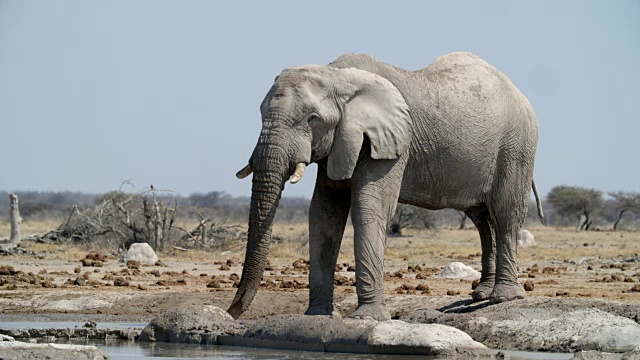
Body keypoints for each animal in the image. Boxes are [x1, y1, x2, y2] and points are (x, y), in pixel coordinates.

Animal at [228, 52, 544, 320]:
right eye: (260, 113)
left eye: (312, 119)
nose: (232, 313)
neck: (338, 77)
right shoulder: (339, 144)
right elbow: (323, 213)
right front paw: (317, 316)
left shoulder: (390, 142)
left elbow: (369, 208)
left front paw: (368, 317)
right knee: (481, 219)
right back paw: (481, 294)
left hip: (517, 146)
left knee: (505, 214)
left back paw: (504, 298)